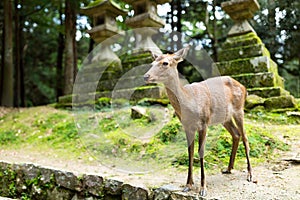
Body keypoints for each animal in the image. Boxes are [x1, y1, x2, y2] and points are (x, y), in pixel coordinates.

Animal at [144, 45, 252, 197]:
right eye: (152, 63)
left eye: (165, 63)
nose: (146, 76)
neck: (189, 101)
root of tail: (244, 87)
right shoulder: (187, 126)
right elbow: (190, 152)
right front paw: (188, 185)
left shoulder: (204, 123)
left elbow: (201, 152)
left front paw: (203, 188)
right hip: (224, 118)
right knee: (236, 134)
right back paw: (228, 168)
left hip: (239, 110)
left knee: (245, 137)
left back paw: (250, 175)